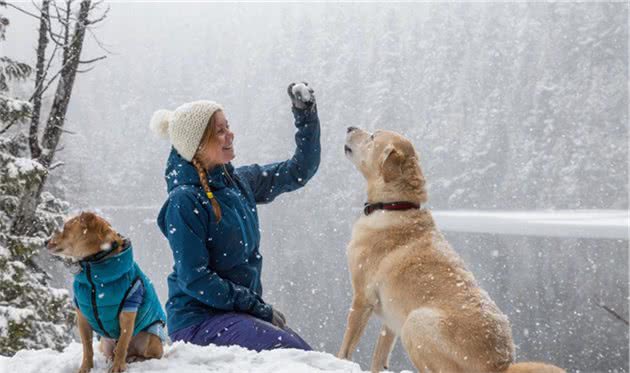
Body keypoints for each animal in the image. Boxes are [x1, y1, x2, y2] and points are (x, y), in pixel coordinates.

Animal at [47, 212, 165, 372]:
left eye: (66, 227)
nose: (45, 241)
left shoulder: (128, 309)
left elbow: (122, 344)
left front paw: (117, 368)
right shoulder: (82, 315)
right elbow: (87, 347)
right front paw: (85, 368)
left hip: (150, 338)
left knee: (143, 354)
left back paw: (132, 359)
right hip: (105, 344)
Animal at [338, 125, 564, 372]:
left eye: (372, 137)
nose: (350, 127)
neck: (394, 207)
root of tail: (500, 364)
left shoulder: (362, 297)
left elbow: (345, 348)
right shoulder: (390, 318)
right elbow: (379, 356)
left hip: (415, 322)